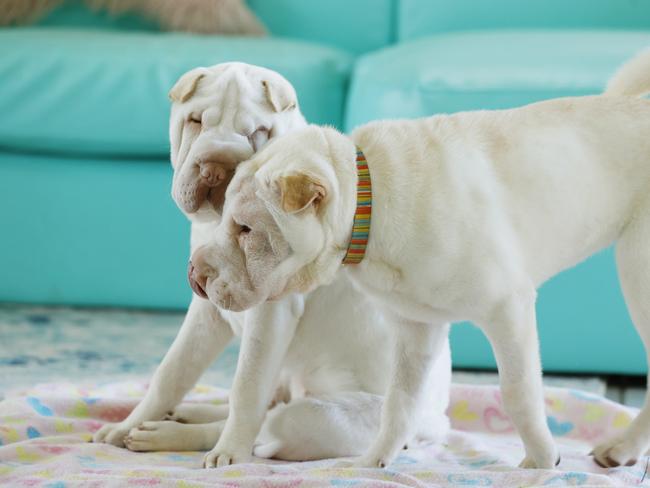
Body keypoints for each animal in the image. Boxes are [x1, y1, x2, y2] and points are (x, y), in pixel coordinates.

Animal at [92, 63, 450, 468]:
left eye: (258, 133)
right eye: (195, 121)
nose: (215, 169)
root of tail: (438, 427)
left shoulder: (270, 313)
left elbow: (246, 389)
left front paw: (228, 453)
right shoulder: (206, 310)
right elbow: (172, 371)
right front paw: (126, 423)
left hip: (321, 416)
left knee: (267, 421)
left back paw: (174, 435)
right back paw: (181, 415)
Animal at [190, 52, 648, 468]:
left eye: (245, 229)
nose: (195, 274)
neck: (370, 202)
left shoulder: (509, 308)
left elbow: (518, 392)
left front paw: (541, 462)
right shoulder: (417, 329)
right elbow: (400, 403)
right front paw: (373, 463)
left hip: (636, 274)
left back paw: (621, 449)